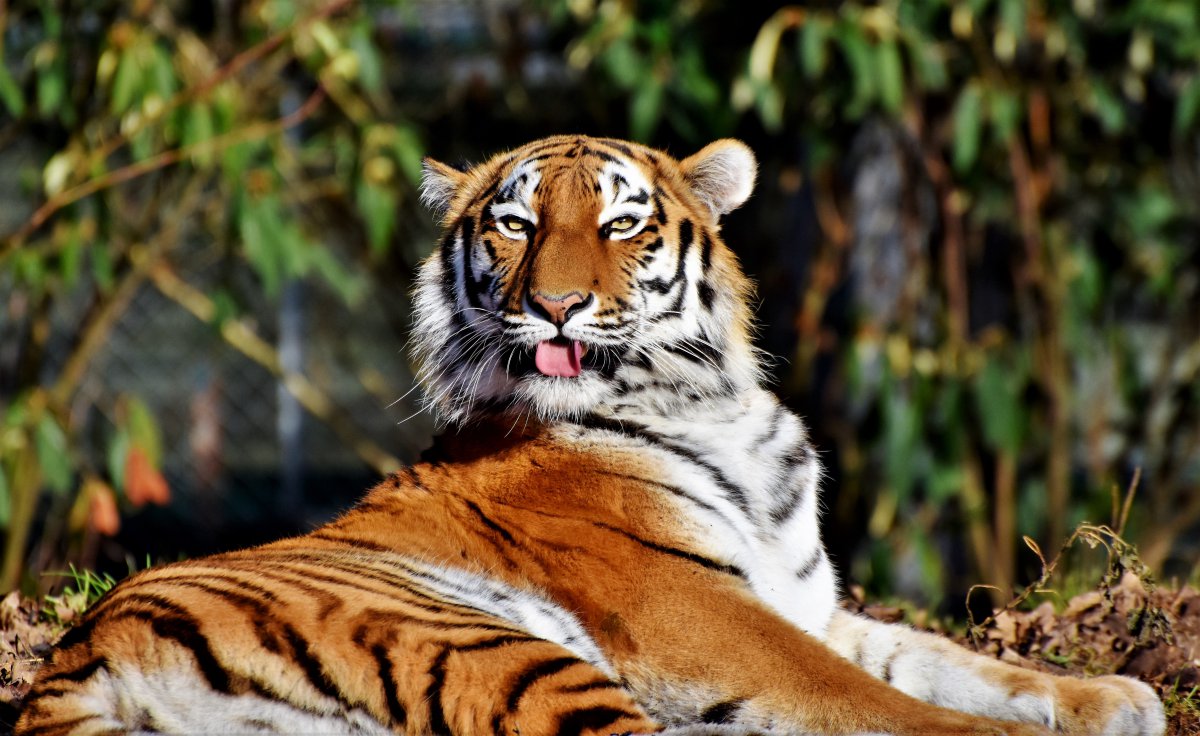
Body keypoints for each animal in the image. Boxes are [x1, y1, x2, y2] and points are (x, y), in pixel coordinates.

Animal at [16, 136, 1161, 734]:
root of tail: (77, 655)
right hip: (493, 645)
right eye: (515, 224)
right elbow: (871, 701)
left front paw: (1112, 696)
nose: (557, 306)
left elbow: (941, 659)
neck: (712, 401)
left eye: (621, 223)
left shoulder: (802, 602)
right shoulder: (698, 612)